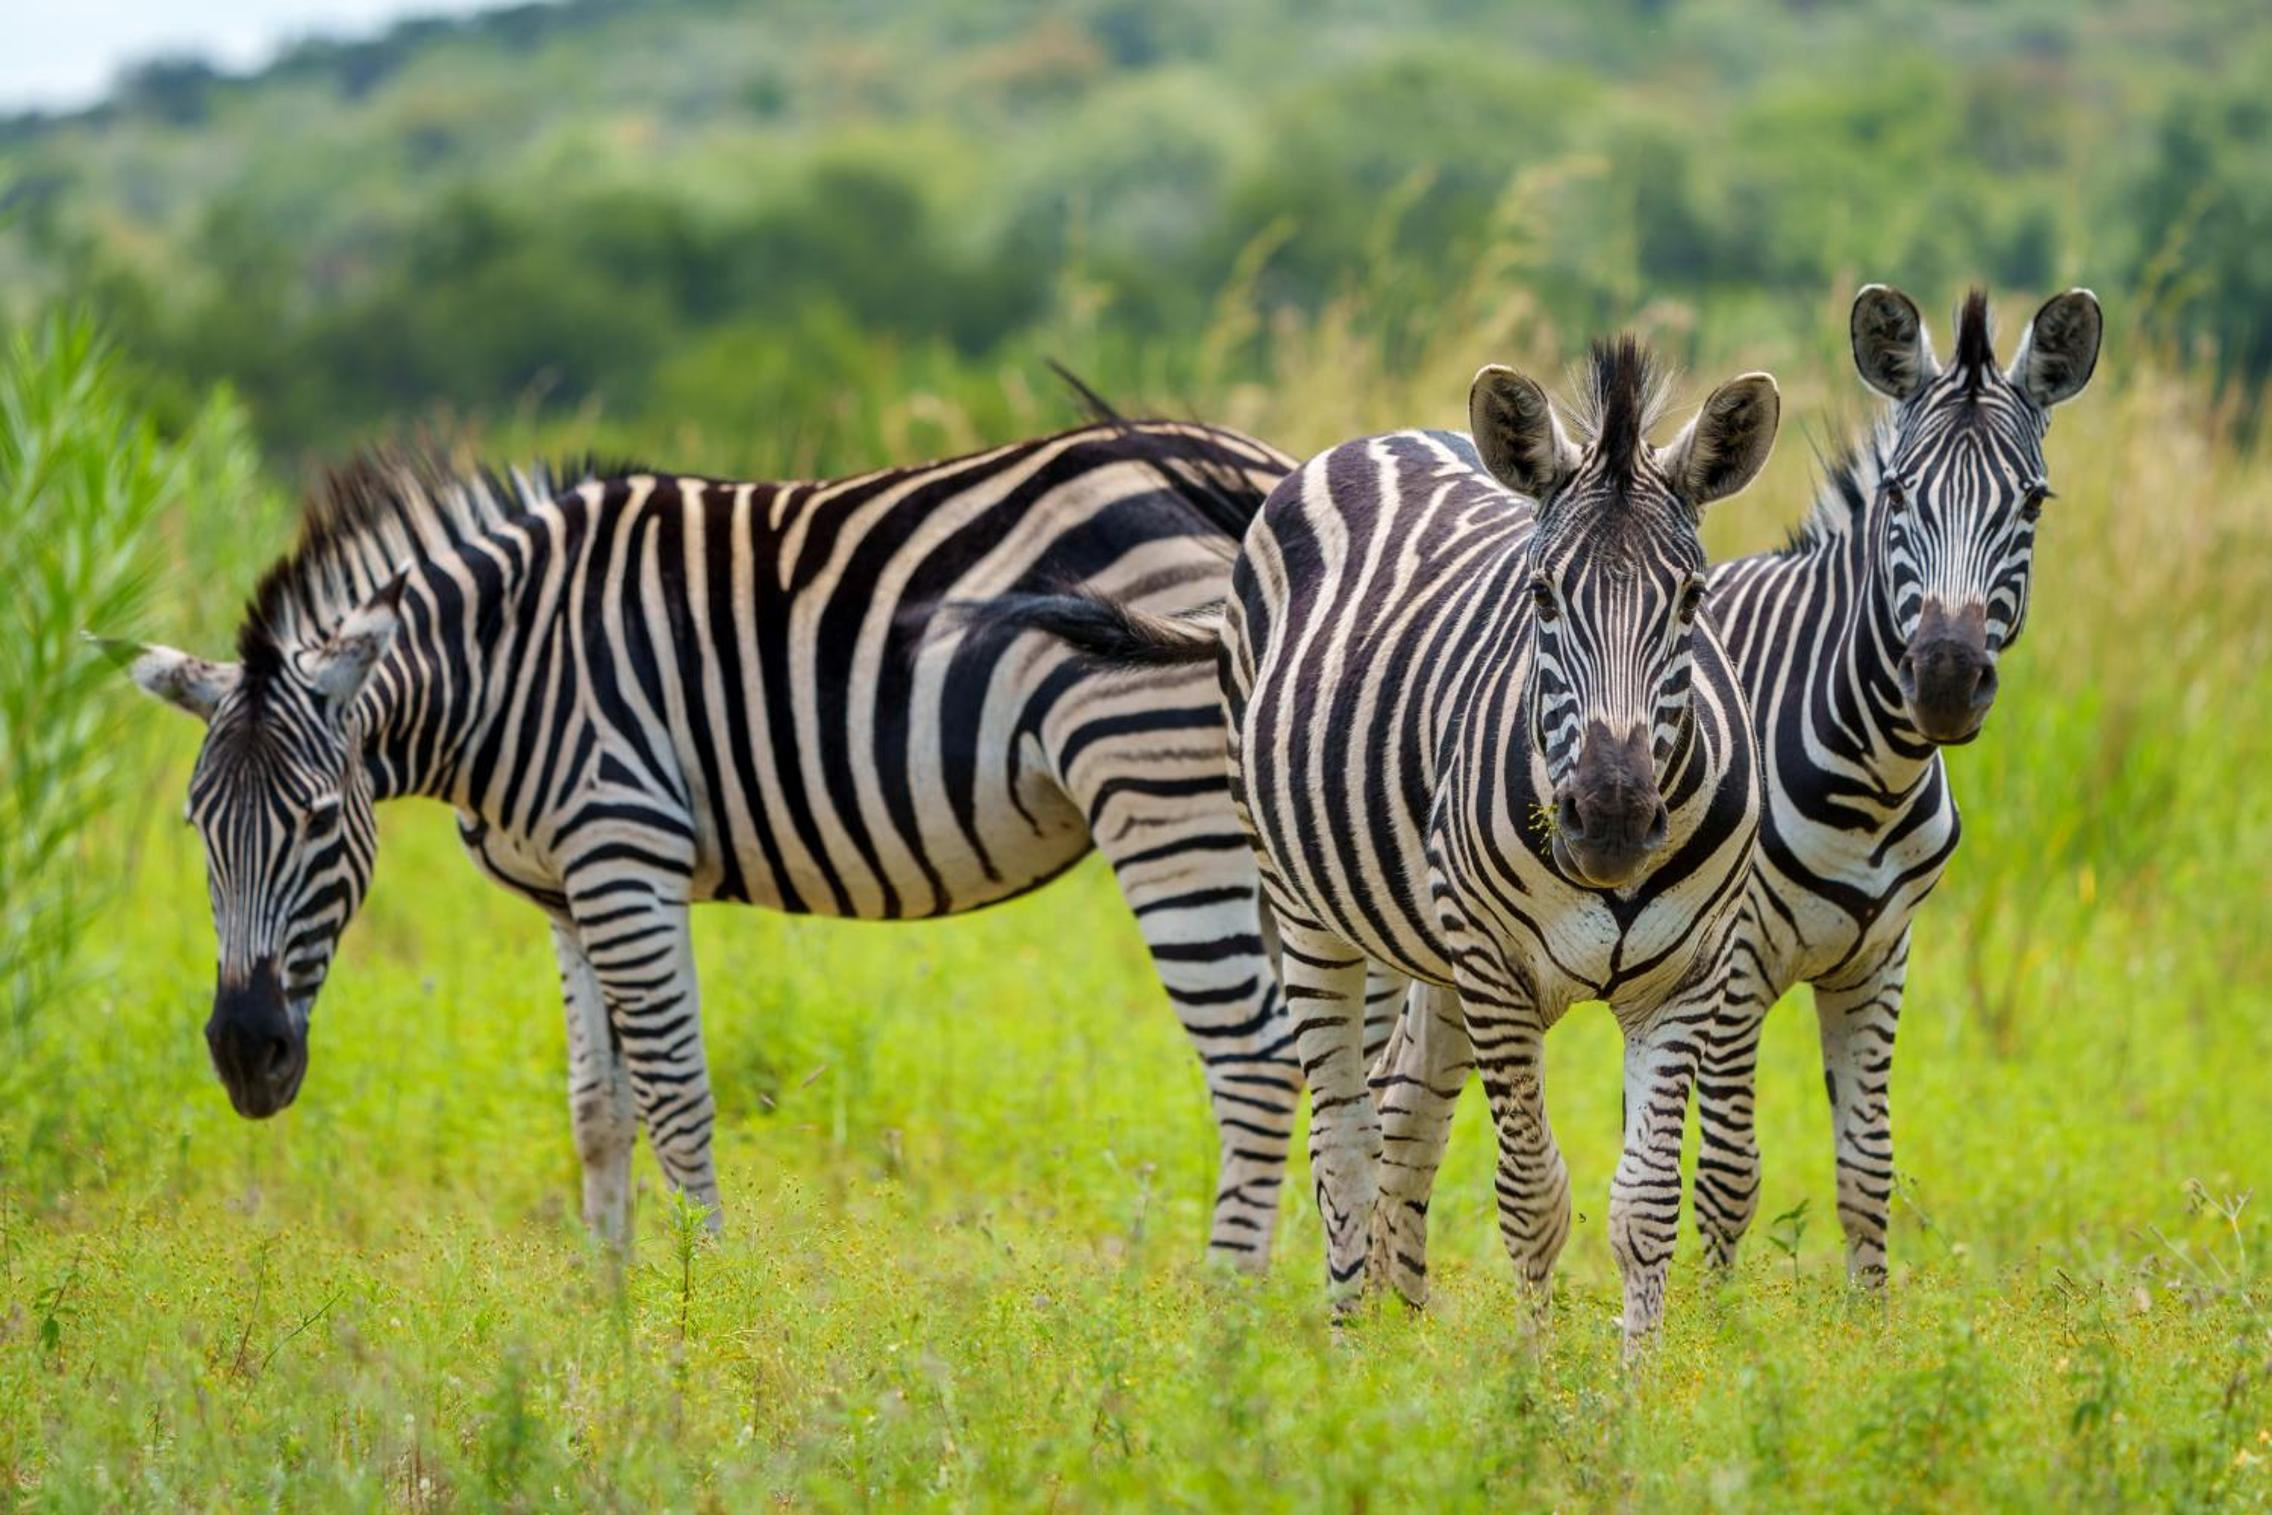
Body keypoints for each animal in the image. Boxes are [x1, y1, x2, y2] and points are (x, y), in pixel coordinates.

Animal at [100, 413, 1313, 1267]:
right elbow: (598, 1114)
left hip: (1159, 794)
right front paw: (610, 1321)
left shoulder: (624, 855)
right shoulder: (568, 896)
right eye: (197, 833)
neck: (505, 668)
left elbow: (679, 1103)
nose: (245, 1057)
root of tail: (1260, 470)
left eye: (315, 820)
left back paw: (1225, 1334)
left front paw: (699, 1317)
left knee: (1254, 1065)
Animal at [966, 341, 1781, 1338]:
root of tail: (1375, 441)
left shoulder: (1685, 979)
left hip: (1423, 945)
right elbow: (1532, 1196)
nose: (1614, 818)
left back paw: (1403, 1330)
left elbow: (1643, 1206)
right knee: (1345, 1137)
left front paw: (1636, 1376)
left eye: (1693, 598)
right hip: (1308, 909)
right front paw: (1534, 1373)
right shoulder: (1497, 974)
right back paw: (1351, 1344)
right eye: (1541, 595)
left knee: (1405, 1121)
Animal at [1367, 285, 2103, 1291]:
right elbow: (1727, 1174)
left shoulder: (1882, 956)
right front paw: (1718, 1322)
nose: (1946, 680)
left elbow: (1866, 1167)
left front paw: (1869, 1318)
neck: (1876, 773)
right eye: (1899, 493)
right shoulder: (1736, 961)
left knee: (1410, 1104)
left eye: (2032, 501)